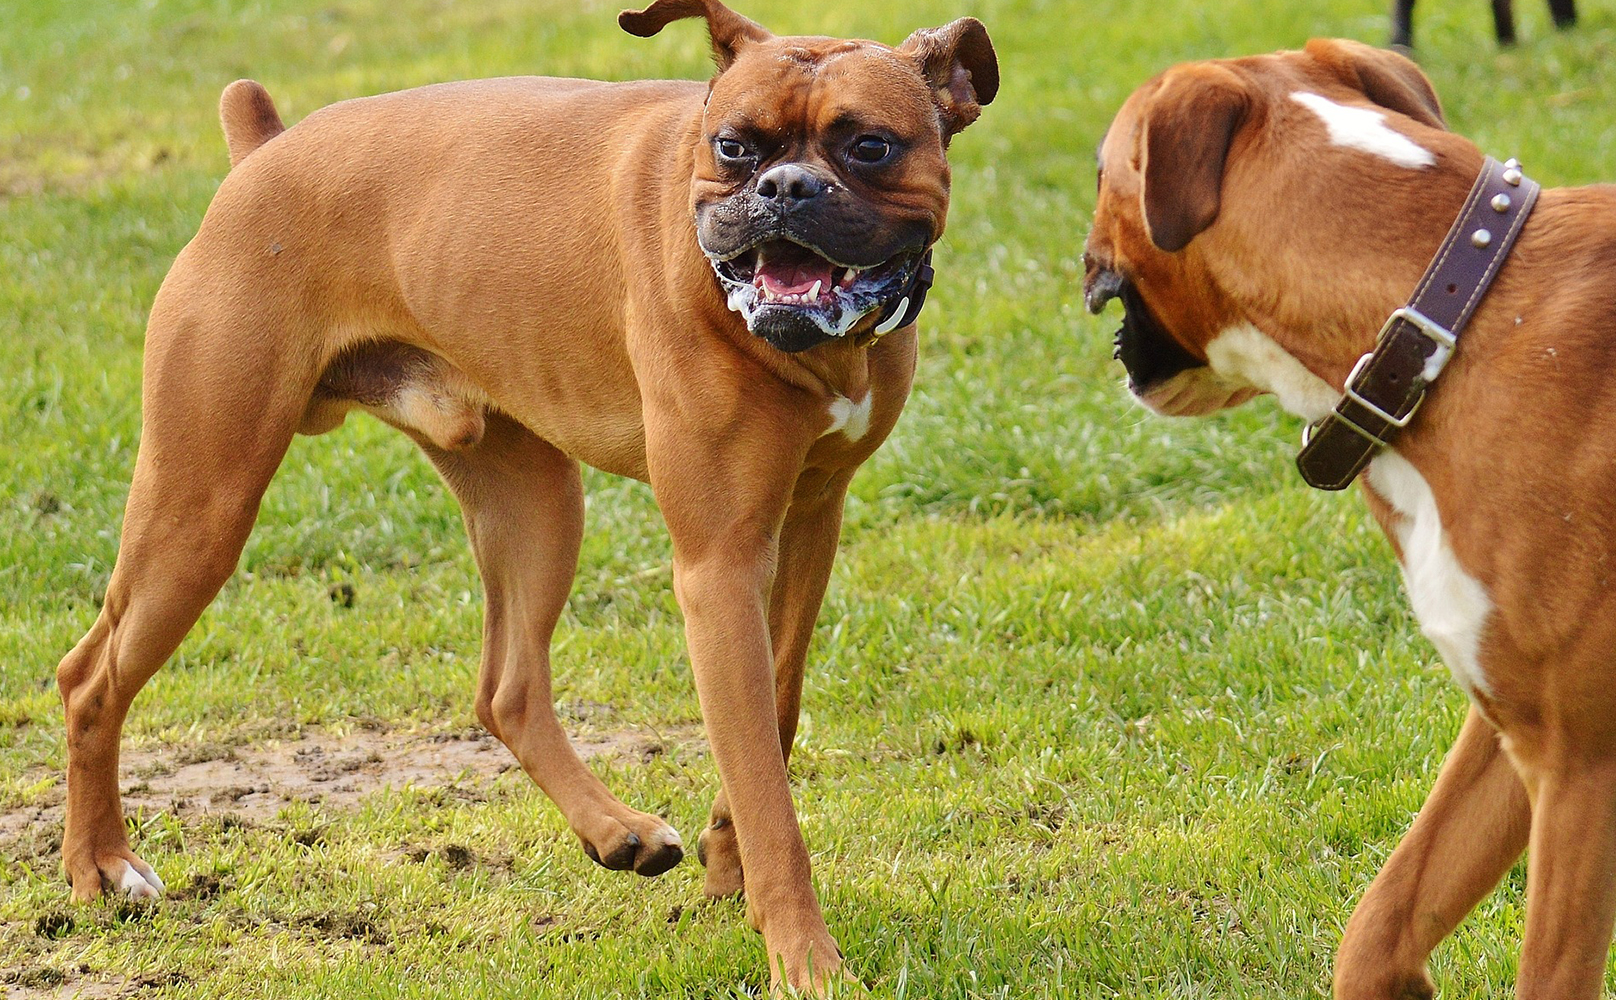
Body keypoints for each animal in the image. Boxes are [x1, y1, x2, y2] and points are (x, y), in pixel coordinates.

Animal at [56, 3, 995, 995]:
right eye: (734, 147)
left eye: (869, 146)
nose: (784, 188)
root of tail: (263, 154)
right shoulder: (719, 565)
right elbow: (769, 789)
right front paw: (804, 957)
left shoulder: (808, 523)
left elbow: (774, 717)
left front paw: (725, 858)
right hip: (201, 506)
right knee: (89, 677)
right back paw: (101, 869)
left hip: (535, 504)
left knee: (506, 689)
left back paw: (617, 832)